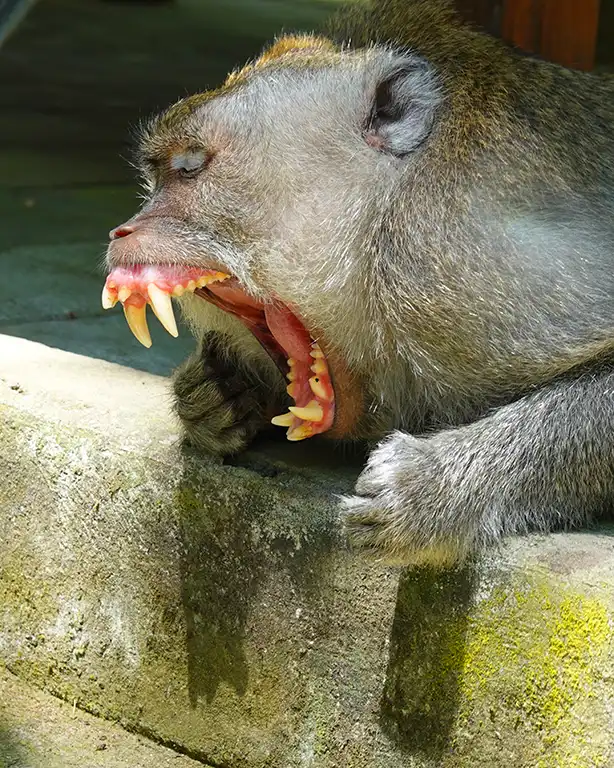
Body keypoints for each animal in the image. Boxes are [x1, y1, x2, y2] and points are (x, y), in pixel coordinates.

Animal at [103, 0, 614, 568]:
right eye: (155, 178)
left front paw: (431, 488)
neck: (381, 216)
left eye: (189, 169)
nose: (123, 232)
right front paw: (218, 390)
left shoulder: (464, 265)